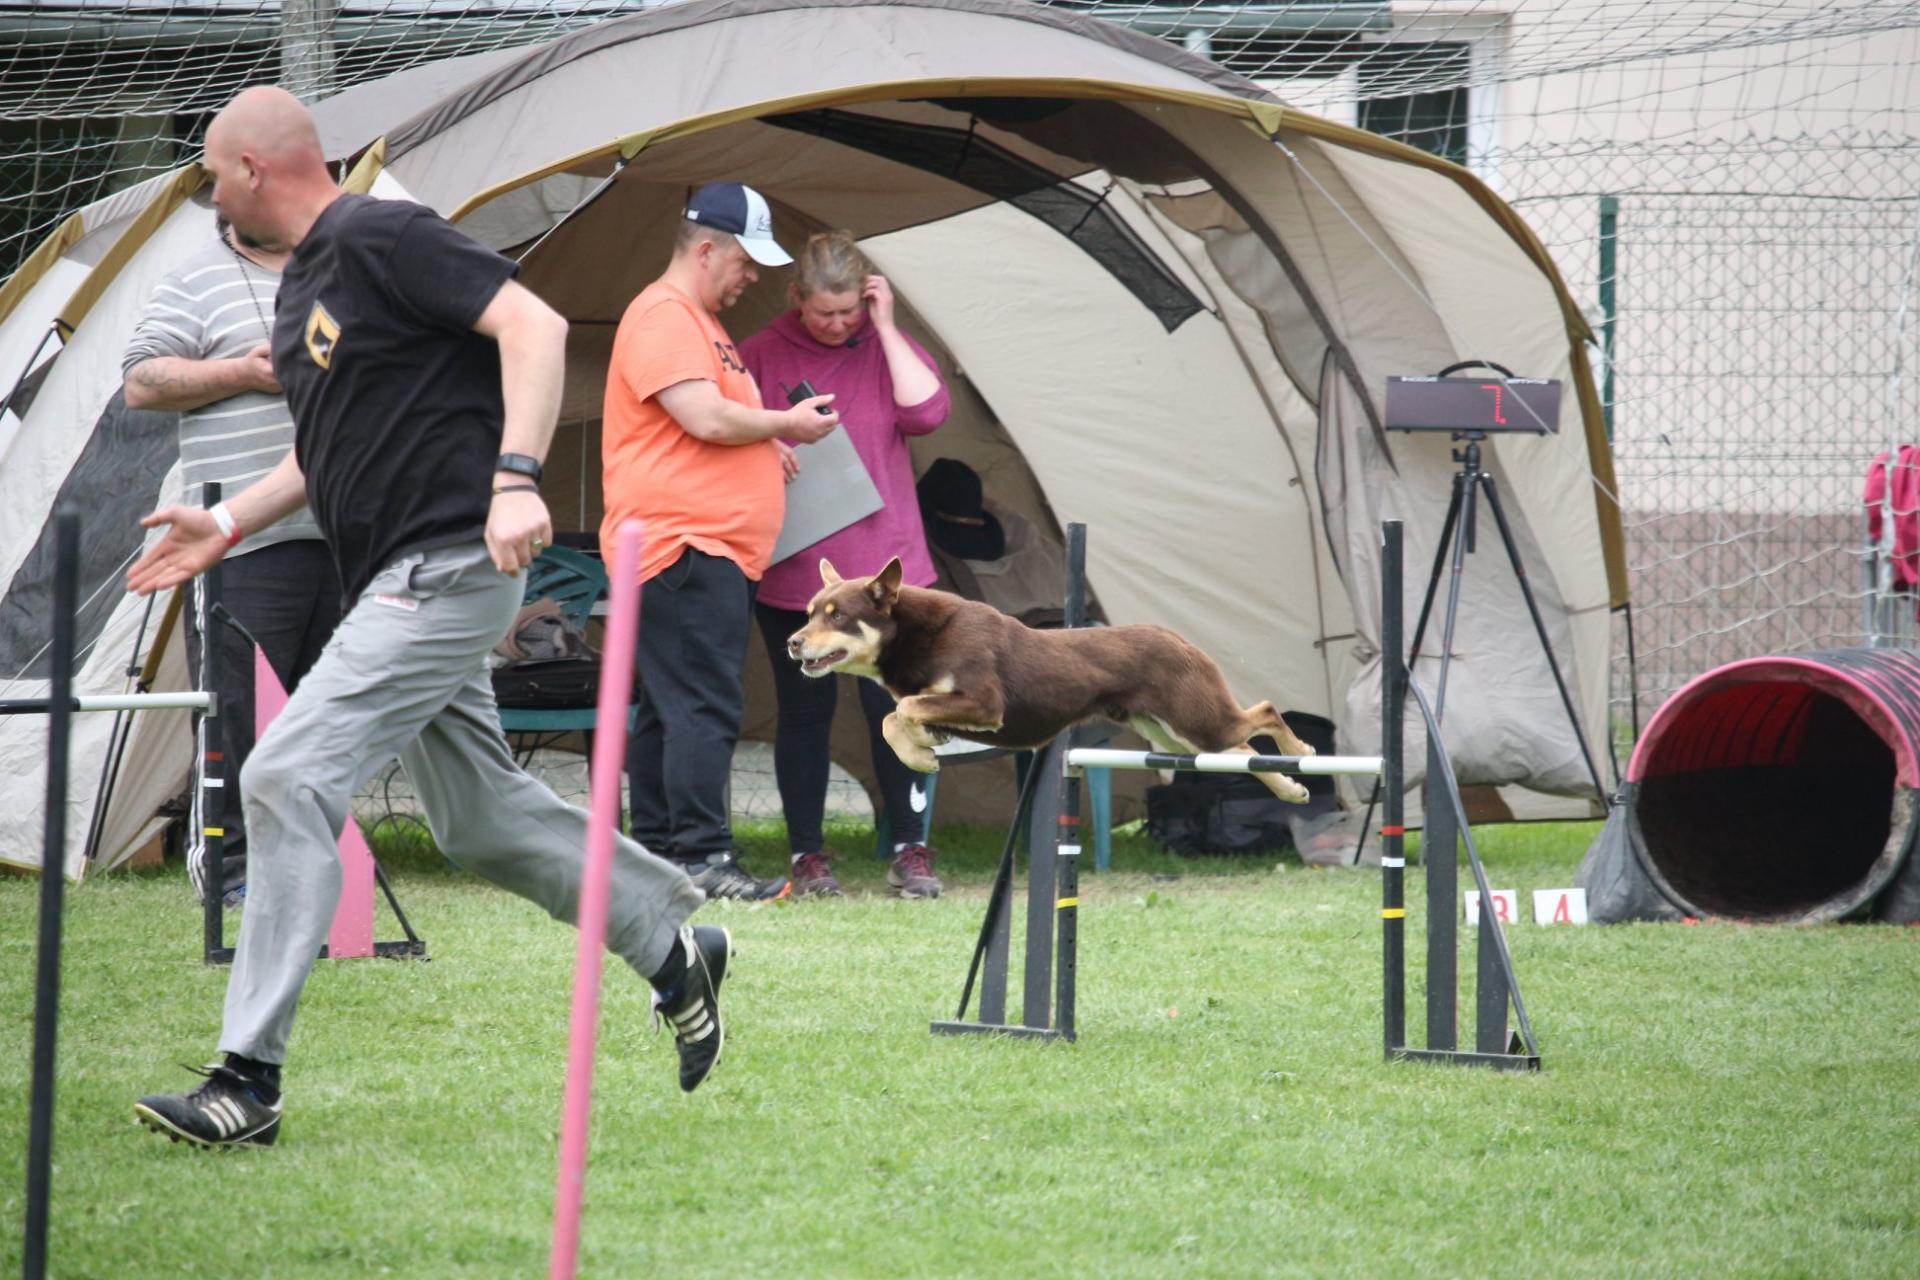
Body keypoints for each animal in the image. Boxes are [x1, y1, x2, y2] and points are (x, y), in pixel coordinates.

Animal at [787, 556, 1313, 802]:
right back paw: (1291, 789)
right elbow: (894, 719)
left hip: (1196, 722)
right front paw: (919, 751)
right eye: (810, 612)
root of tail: (1175, 635)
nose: (792, 642)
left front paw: (918, 757)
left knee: (1265, 711)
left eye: (837, 616)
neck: (921, 634)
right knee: (1243, 751)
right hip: (1177, 736)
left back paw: (1303, 751)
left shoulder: (984, 703)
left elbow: (901, 709)